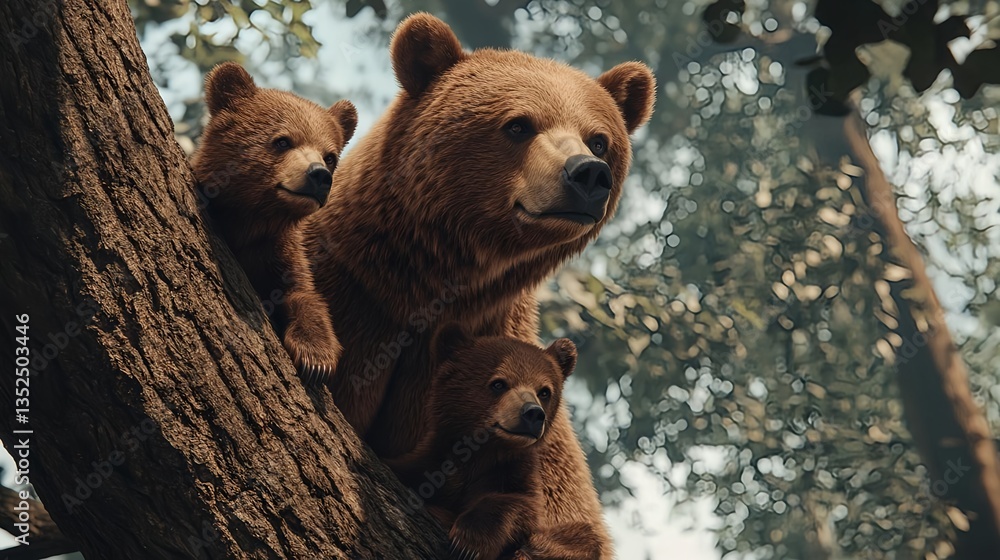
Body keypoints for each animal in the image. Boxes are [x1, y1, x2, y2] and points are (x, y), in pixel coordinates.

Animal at [191, 62, 357, 384]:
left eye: (330, 156)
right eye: (282, 140)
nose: (319, 175)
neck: (251, 219)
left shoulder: (278, 250)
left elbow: (302, 293)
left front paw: (316, 359)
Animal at [386, 323, 600, 560]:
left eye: (544, 391)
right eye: (499, 383)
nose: (533, 414)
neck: (481, 454)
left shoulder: (513, 477)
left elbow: (518, 507)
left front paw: (468, 542)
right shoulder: (427, 464)